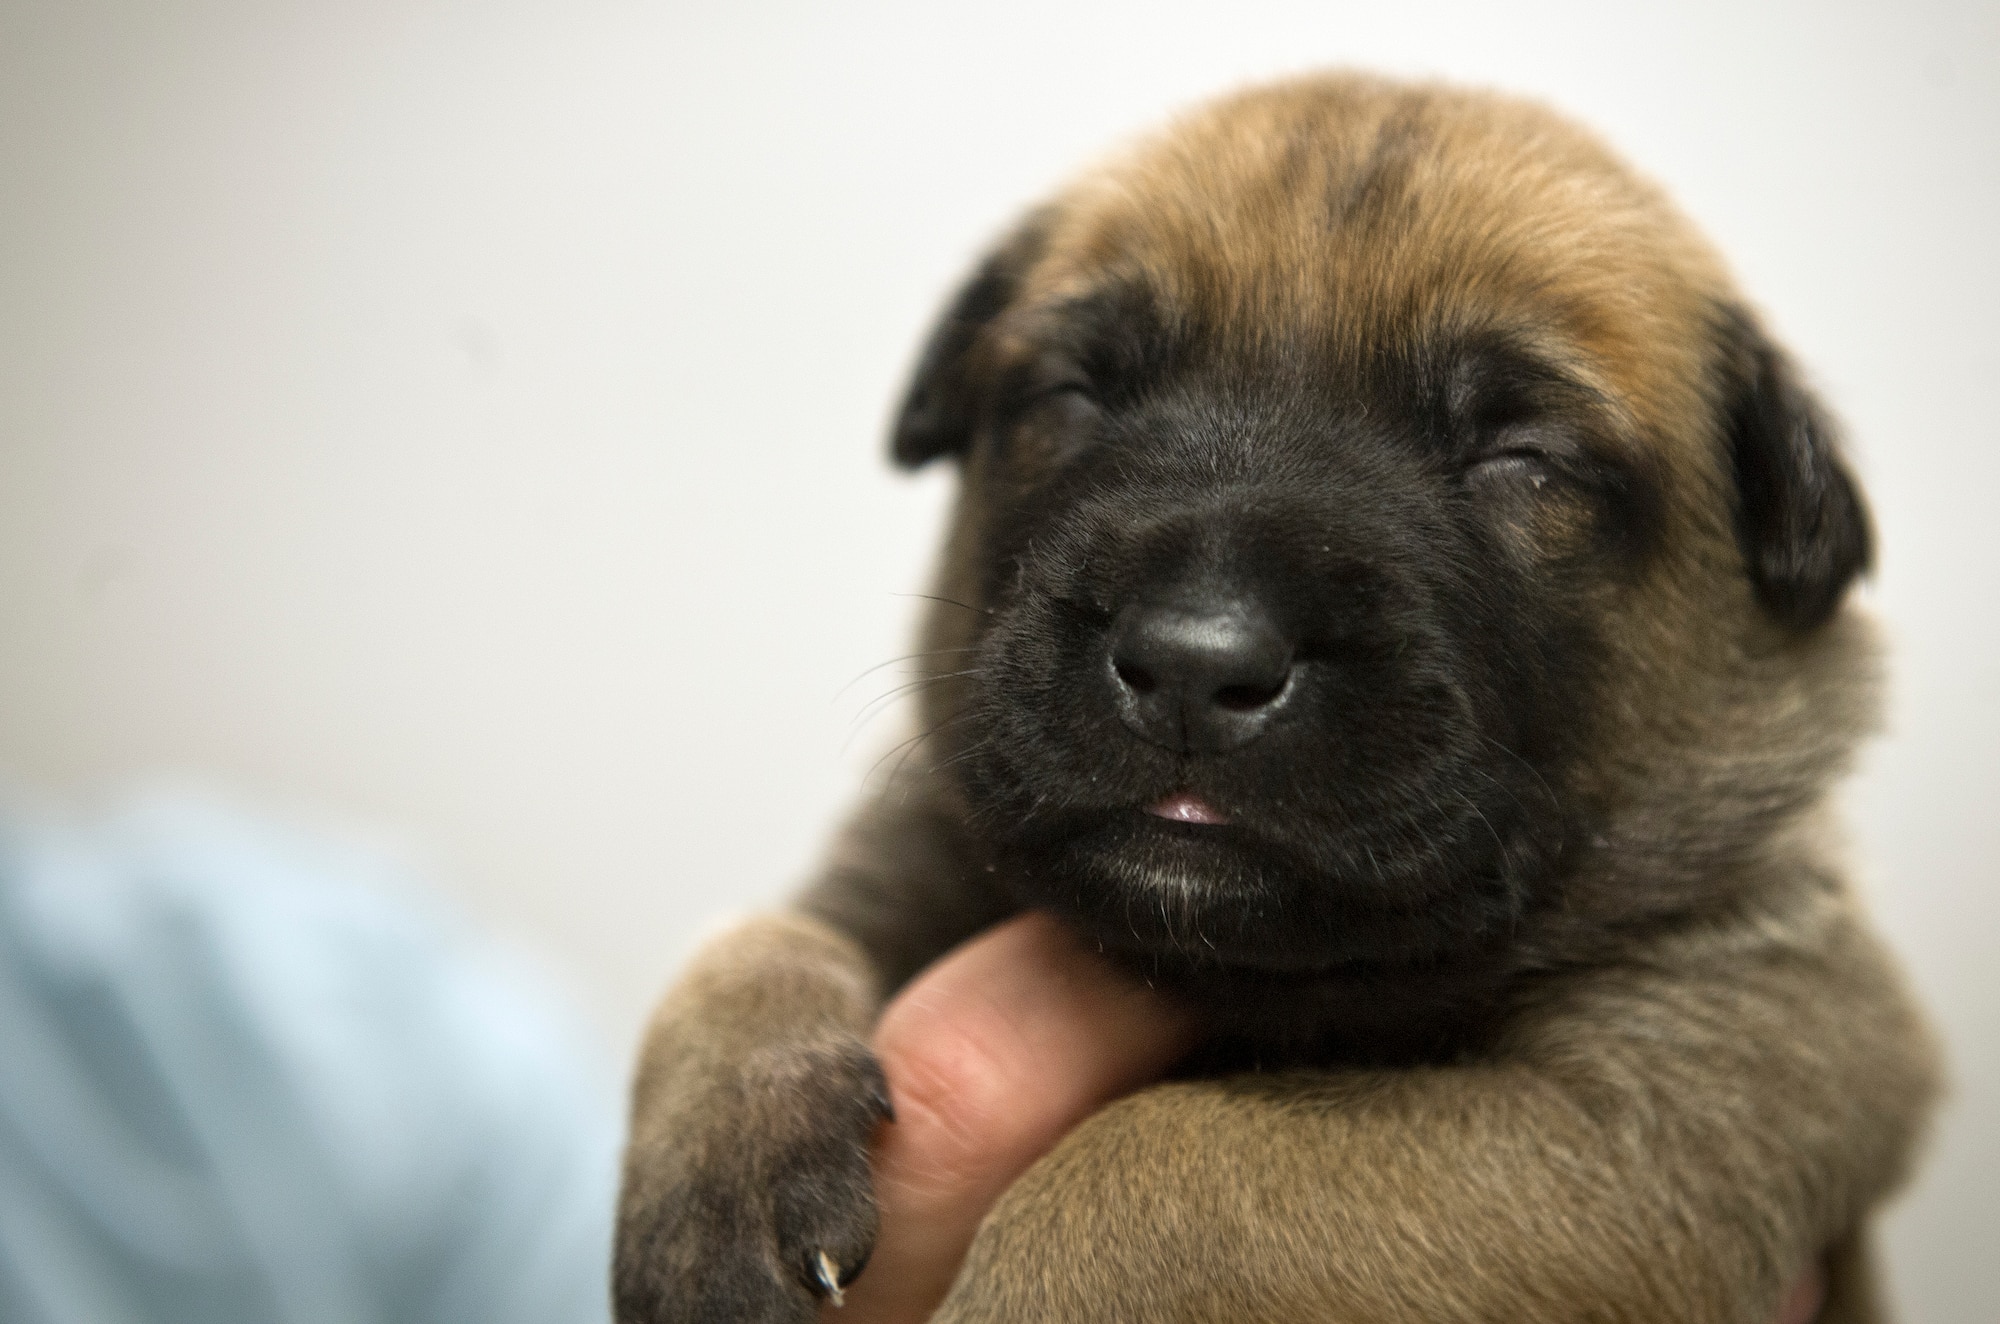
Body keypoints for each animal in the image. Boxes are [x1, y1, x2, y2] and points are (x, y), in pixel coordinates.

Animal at [612, 75, 1936, 1324]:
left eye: (1519, 458)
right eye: (1072, 396)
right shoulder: (907, 851)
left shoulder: (1670, 1100)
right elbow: (758, 937)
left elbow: (1179, 1162)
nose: (1192, 665)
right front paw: (721, 1140)